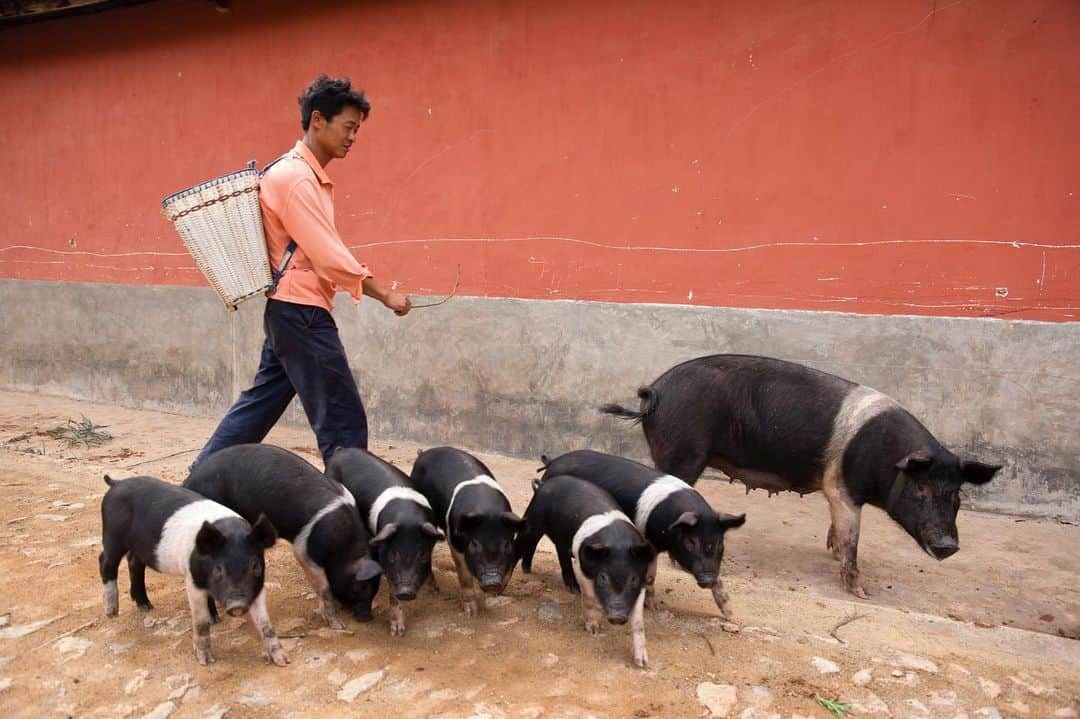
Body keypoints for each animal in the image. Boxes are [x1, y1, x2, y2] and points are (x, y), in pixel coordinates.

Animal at [604, 351, 997, 591]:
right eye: (921, 490)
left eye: (957, 495)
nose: (948, 546)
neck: (886, 458)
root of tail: (654, 394)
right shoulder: (842, 487)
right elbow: (852, 536)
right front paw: (861, 591)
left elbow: (839, 530)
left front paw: (833, 551)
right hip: (683, 453)